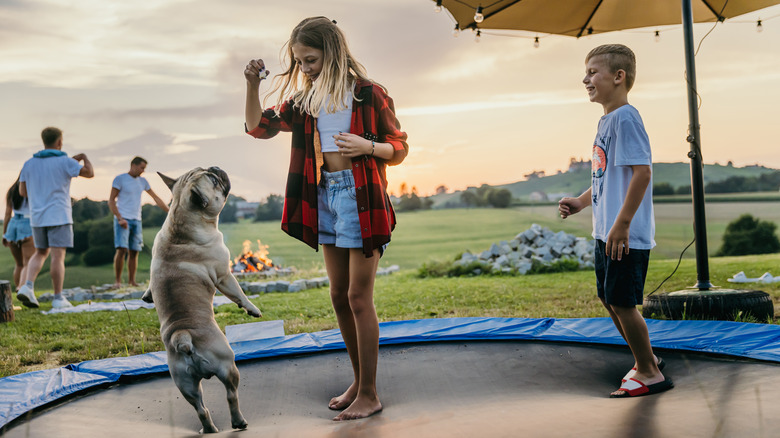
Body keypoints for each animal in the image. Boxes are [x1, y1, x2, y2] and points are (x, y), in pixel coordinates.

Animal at [141, 166, 262, 432]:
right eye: (214, 181)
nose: (215, 167)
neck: (179, 224)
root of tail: (183, 336)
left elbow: (150, 285)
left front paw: (146, 296)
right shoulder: (224, 275)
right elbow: (239, 293)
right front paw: (252, 309)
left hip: (185, 384)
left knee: (200, 408)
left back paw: (209, 429)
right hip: (228, 366)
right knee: (231, 395)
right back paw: (239, 422)